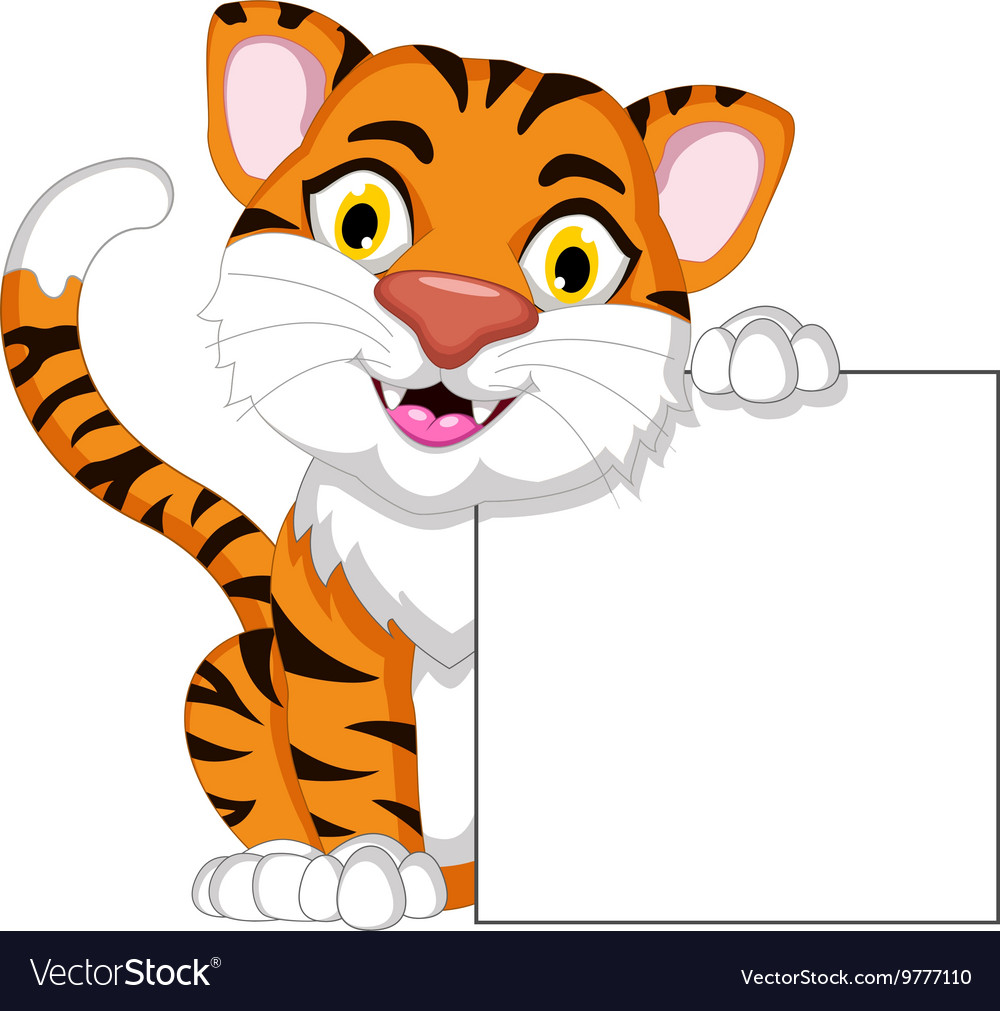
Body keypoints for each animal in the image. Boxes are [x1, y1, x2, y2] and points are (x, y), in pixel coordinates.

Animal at [2, 2, 794, 928]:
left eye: (573, 264)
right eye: (362, 220)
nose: (453, 312)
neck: (452, 519)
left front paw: (754, 358)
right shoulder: (334, 636)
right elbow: (354, 760)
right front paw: (367, 868)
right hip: (227, 680)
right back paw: (278, 872)